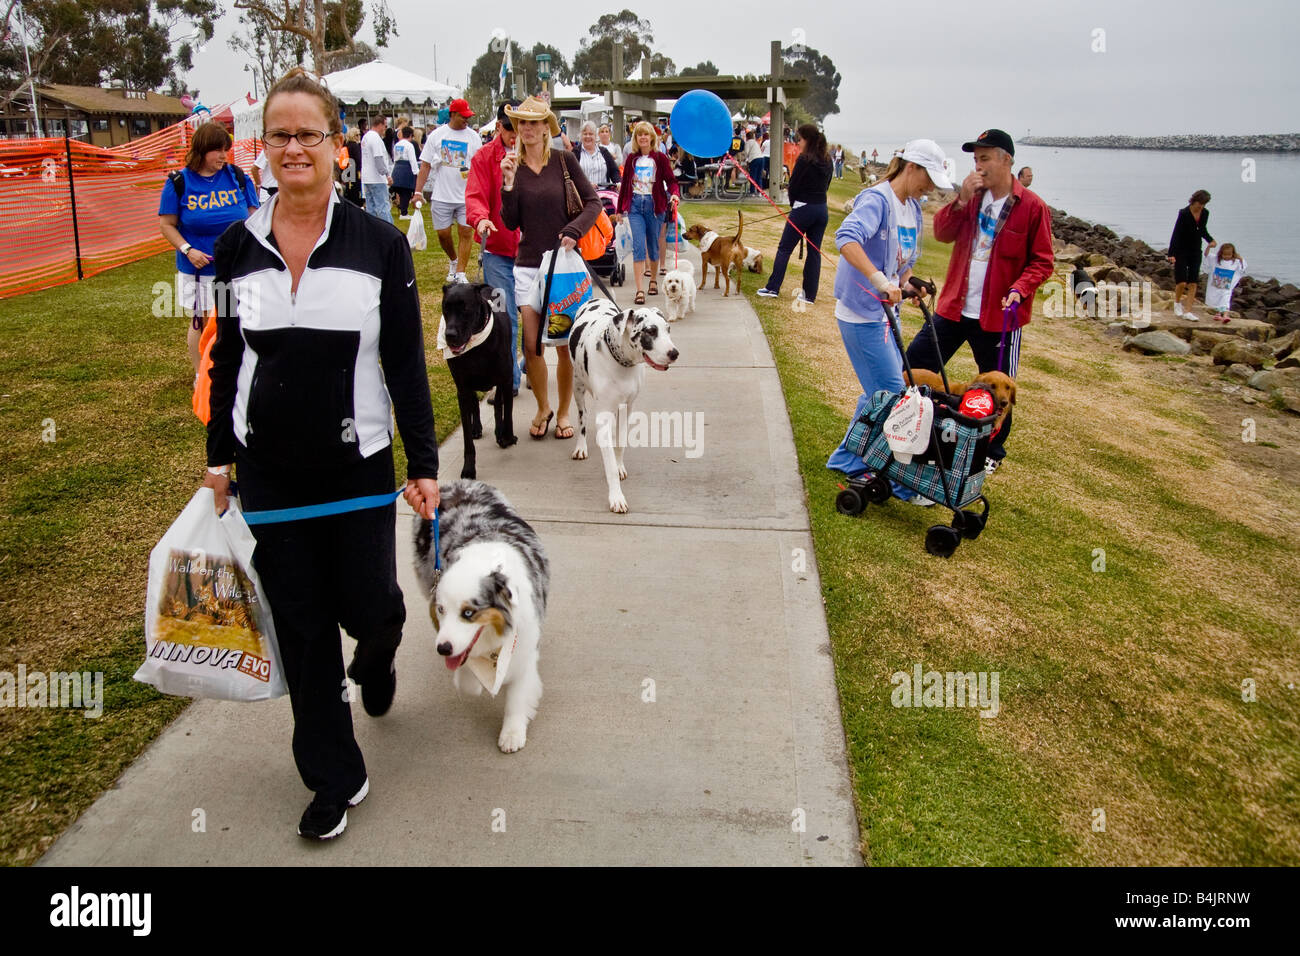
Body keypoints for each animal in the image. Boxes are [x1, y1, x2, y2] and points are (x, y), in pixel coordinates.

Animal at [439, 282, 514, 478]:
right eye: (445, 307)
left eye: (465, 308)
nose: (449, 335)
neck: (476, 347)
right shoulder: (462, 388)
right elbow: (466, 437)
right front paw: (468, 467)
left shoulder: (506, 379)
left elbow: (507, 412)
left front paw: (507, 437)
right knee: (474, 404)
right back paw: (477, 428)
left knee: (498, 405)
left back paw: (499, 431)